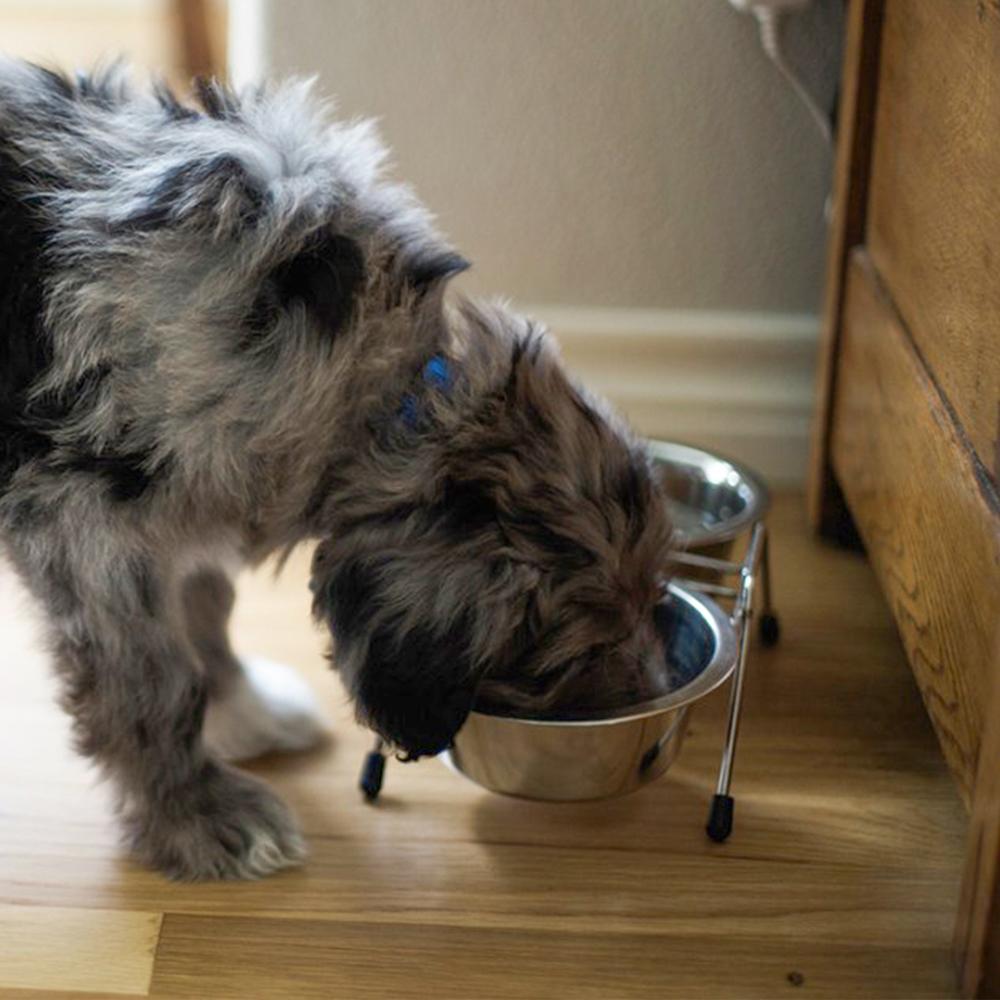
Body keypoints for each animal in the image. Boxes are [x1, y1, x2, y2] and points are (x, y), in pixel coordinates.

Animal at [1, 62, 672, 880]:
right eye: (581, 653)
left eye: (656, 594)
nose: (653, 692)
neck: (389, 389)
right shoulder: (85, 530)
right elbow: (153, 683)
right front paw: (200, 815)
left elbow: (206, 598)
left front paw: (241, 706)